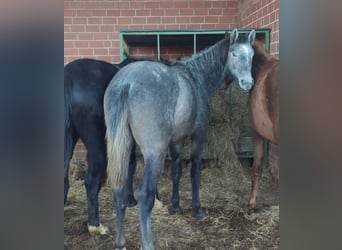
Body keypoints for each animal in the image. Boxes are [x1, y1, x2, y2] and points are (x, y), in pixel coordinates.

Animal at [105, 28, 256, 249]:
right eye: (234, 53)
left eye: (252, 55)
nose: (248, 83)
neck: (196, 78)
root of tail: (126, 82)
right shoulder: (198, 136)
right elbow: (194, 173)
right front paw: (197, 209)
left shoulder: (176, 142)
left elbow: (176, 172)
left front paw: (175, 206)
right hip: (154, 153)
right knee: (145, 195)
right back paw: (147, 243)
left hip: (123, 149)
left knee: (119, 191)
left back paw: (120, 241)